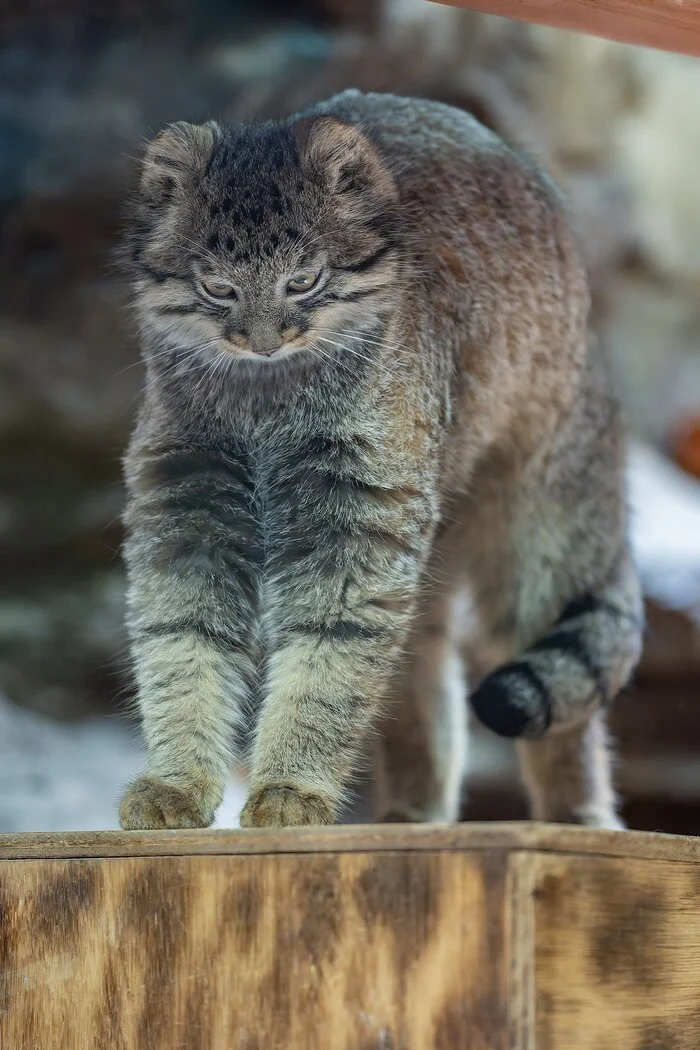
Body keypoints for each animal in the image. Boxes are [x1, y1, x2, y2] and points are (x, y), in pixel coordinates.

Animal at [117, 88, 642, 827]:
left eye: (303, 280)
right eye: (218, 287)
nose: (263, 340)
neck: (265, 406)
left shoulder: (358, 528)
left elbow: (326, 663)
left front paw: (292, 787)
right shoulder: (186, 510)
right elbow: (181, 644)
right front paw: (177, 783)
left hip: (536, 535)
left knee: (557, 693)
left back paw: (576, 819)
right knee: (419, 673)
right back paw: (416, 813)